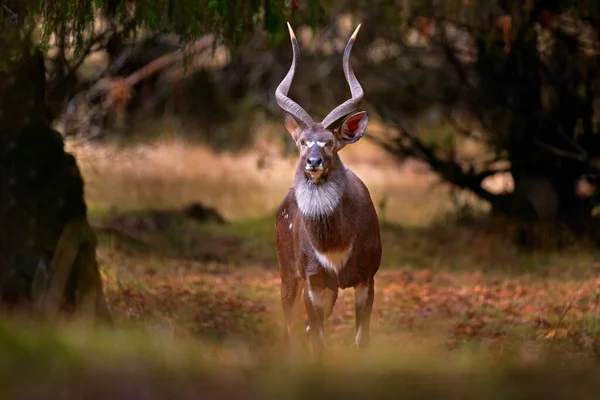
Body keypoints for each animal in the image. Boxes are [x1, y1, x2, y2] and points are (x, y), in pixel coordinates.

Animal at [274, 21, 382, 356]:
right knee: (291, 327)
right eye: (302, 141)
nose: (313, 161)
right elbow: (317, 341)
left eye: (331, 142)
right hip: (288, 276)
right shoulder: (313, 281)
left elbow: (362, 340)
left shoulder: (366, 277)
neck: (334, 245)